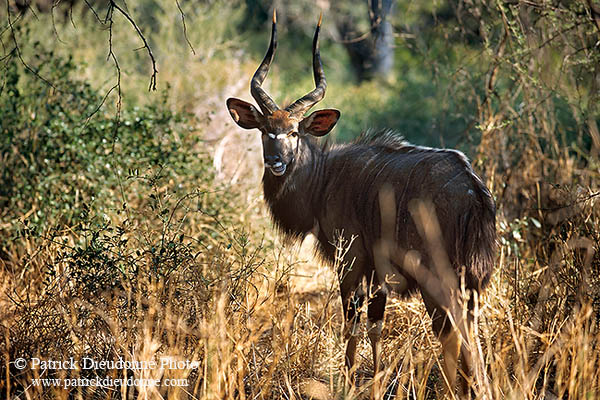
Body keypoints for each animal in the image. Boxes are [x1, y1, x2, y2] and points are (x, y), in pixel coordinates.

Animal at [226, 10, 496, 396]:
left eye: (294, 131)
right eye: (265, 130)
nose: (276, 161)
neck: (325, 176)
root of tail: (473, 192)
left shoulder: (351, 262)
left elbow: (352, 325)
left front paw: (348, 382)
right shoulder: (378, 273)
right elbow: (376, 326)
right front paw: (377, 384)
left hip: (439, 281)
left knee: (454, 335)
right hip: (470, 283)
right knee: (468, 333)